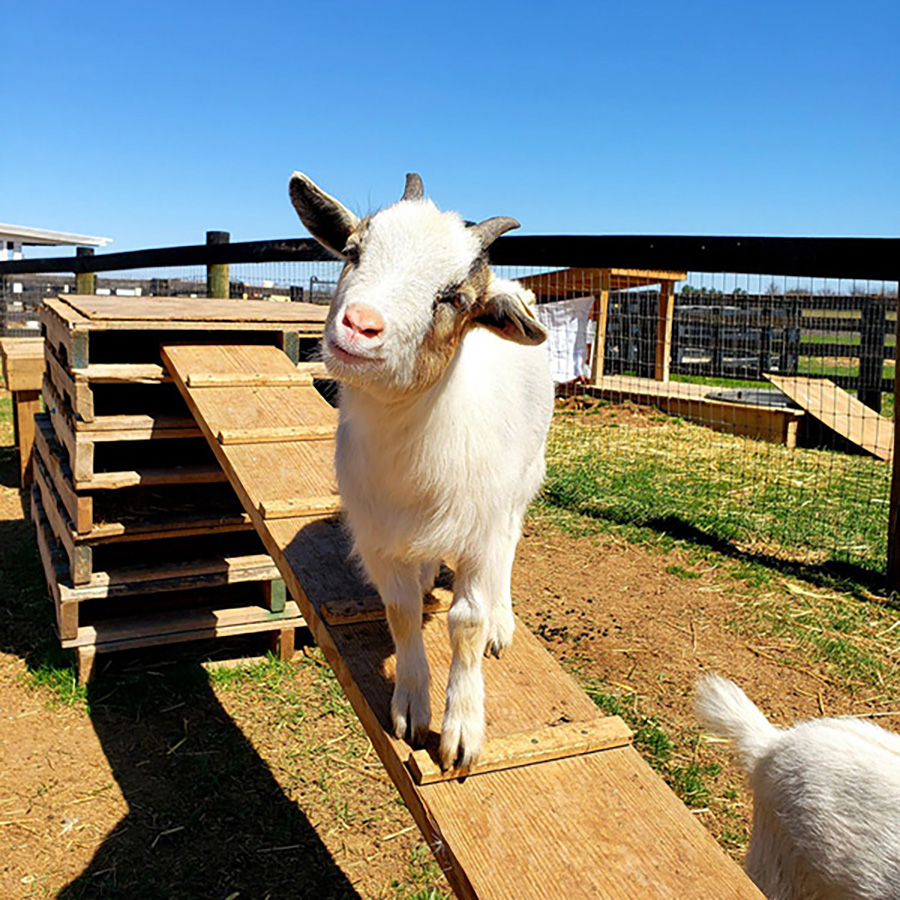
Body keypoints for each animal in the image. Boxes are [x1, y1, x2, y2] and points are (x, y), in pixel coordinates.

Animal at [289, 171, 554, 770]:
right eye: (354, 252)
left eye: (454, 298)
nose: (360, 326)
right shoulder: (378, 538)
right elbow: (403, 611)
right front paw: (412, 708)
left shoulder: (480, 528)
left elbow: (465, 624)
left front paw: (461, 729)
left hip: (525, 477)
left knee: (510, 542)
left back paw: (502, 620)